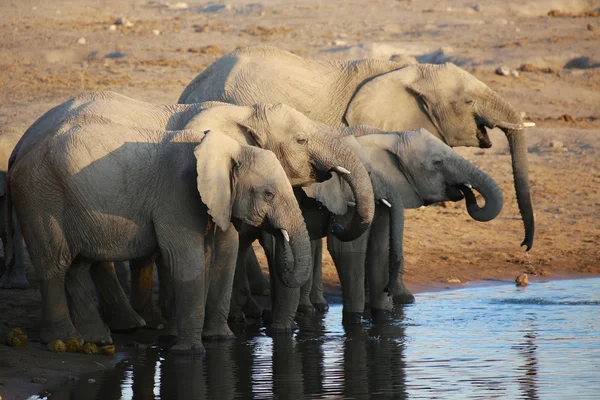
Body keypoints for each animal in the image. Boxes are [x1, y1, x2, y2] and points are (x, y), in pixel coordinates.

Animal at [7, 126, 312, 354]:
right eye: (269, 194)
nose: (278, 232)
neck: (232, 149)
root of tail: (18, 156)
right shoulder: (178, 193)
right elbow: (186, 260)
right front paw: (190, 351)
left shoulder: (219, 199)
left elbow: (218, 253)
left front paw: (218, 340)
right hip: (40, 198)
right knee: (55, 263)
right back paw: (64, 339)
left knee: (77, 266)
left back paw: (96, 339)